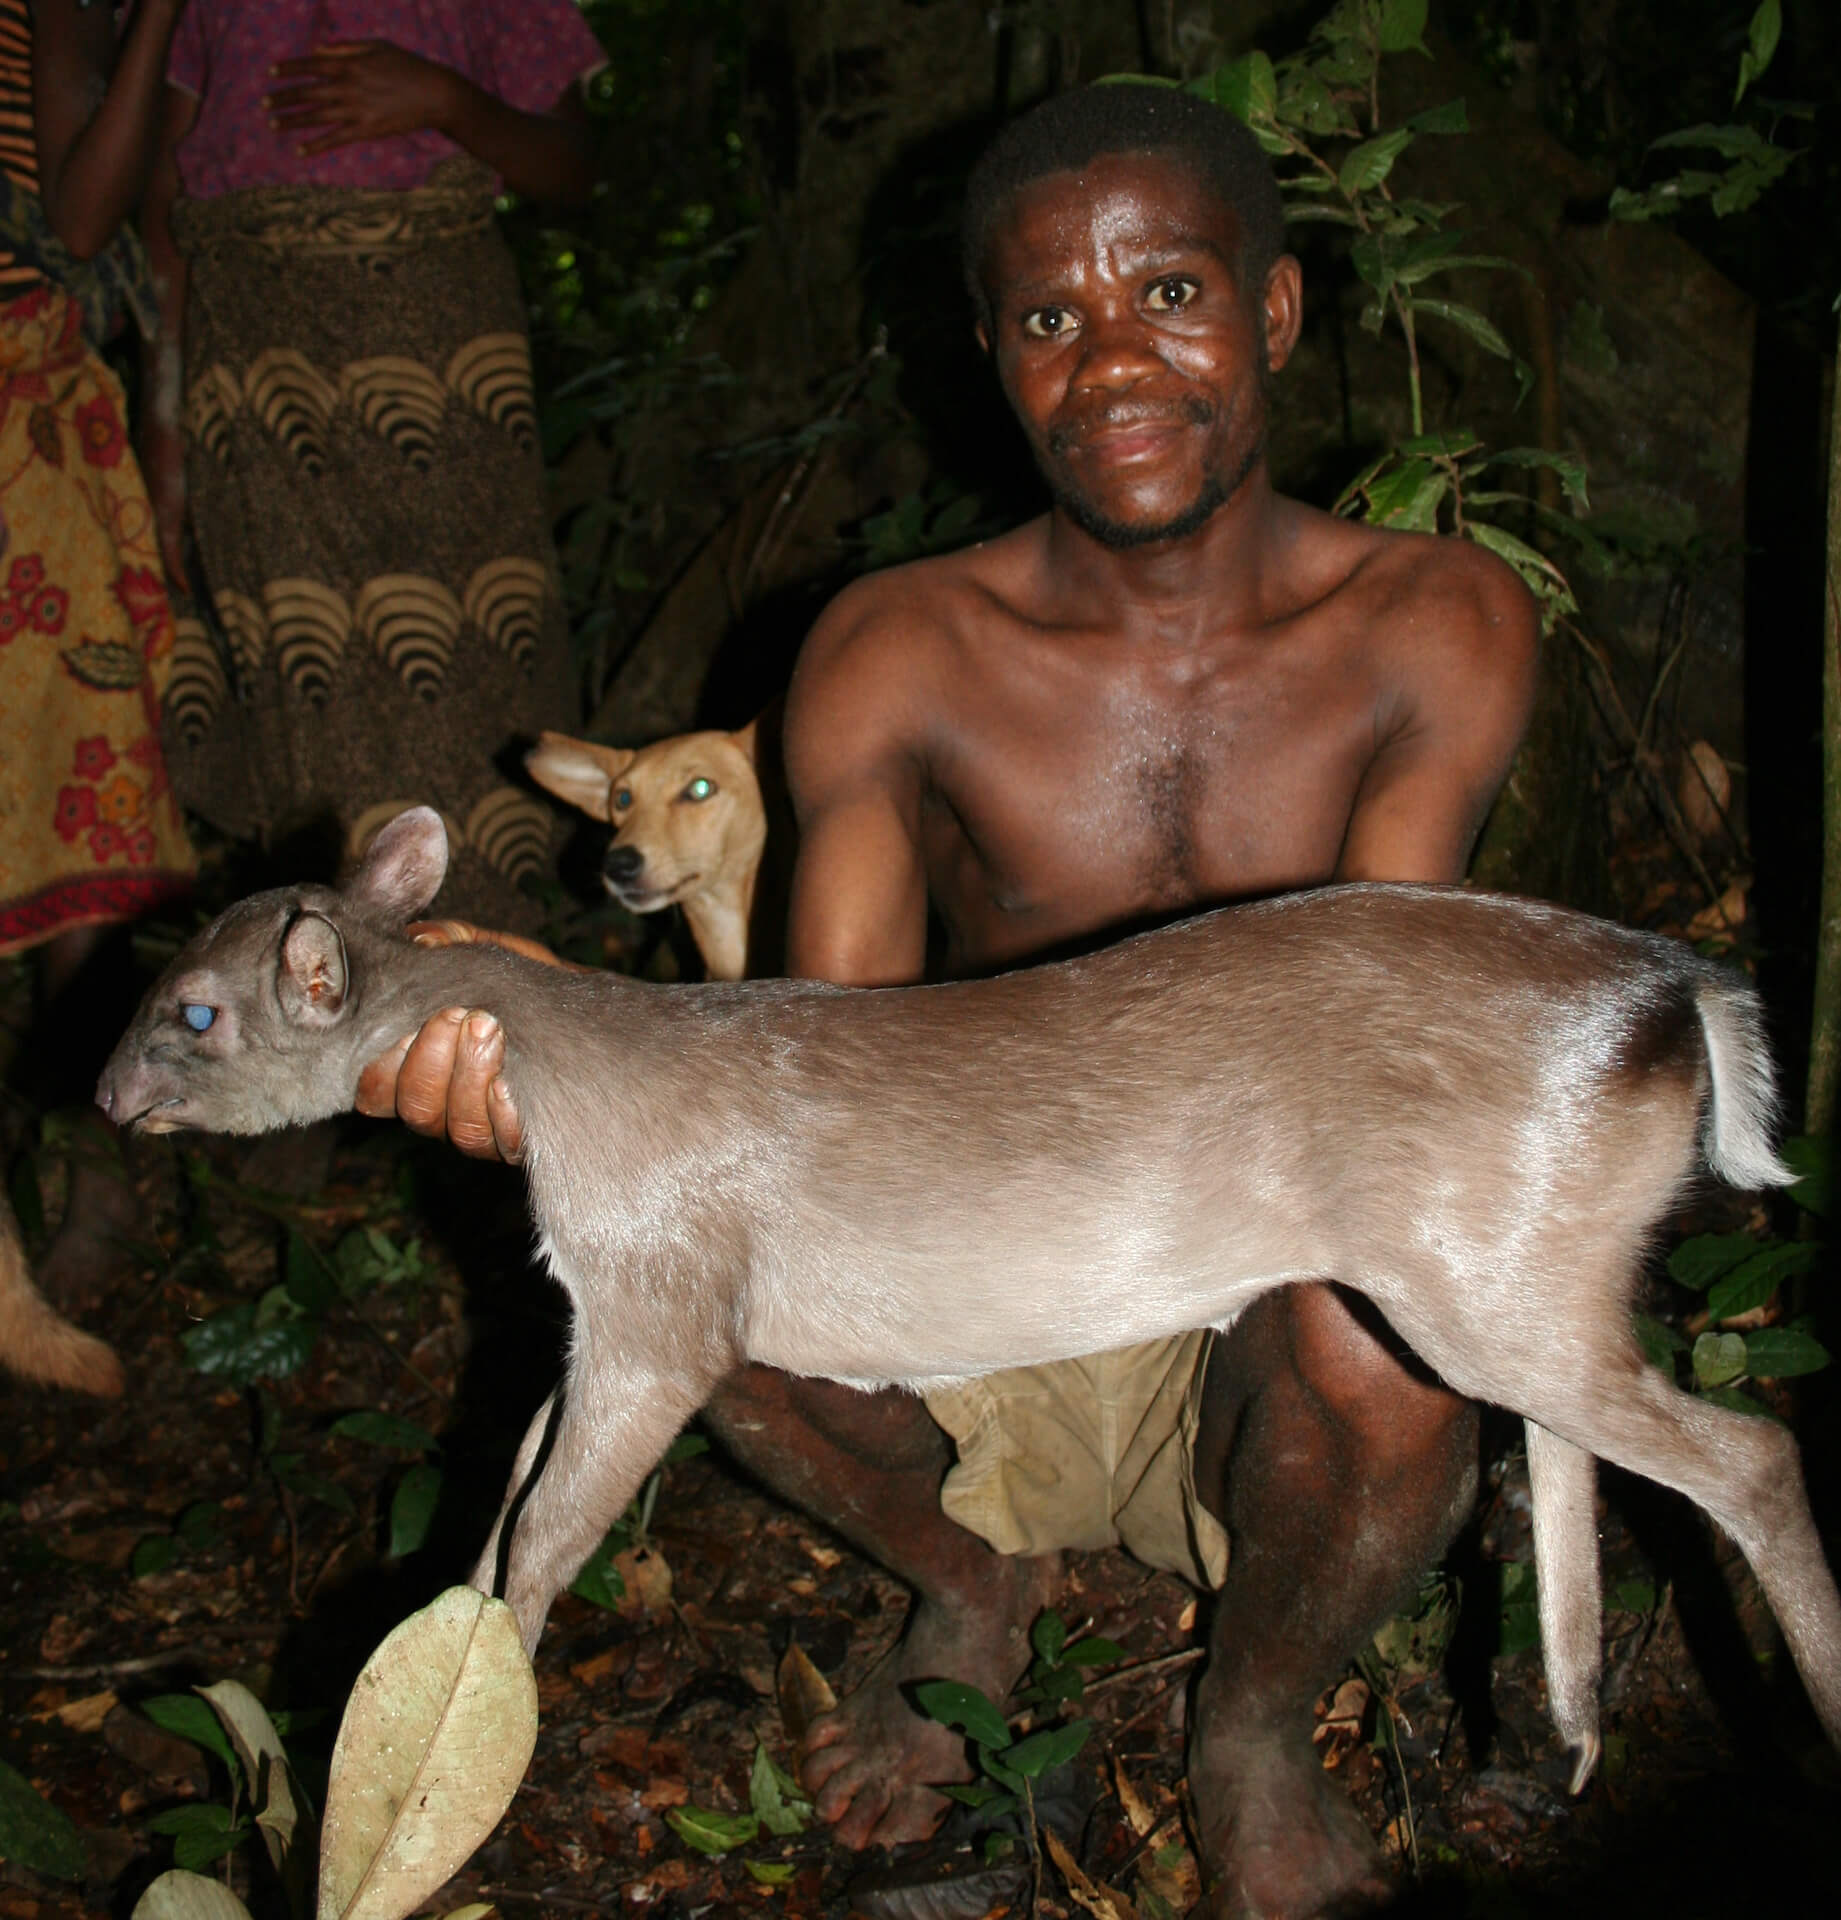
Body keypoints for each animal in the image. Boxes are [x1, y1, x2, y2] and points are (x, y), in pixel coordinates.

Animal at [96, 806, 1841, 1781]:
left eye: (194, 1009)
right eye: (165, 971)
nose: (102, 1090)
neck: (569, 1084)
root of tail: (1676, 991)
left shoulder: (662, 1299)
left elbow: (539, 1541)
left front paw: (454, 1747)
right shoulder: (601, 1310)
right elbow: (505, 1496)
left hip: (1469, 1282)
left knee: (1750, 1450)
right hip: (1526, 1274)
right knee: (1590, 1458)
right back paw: (1572, 1735)